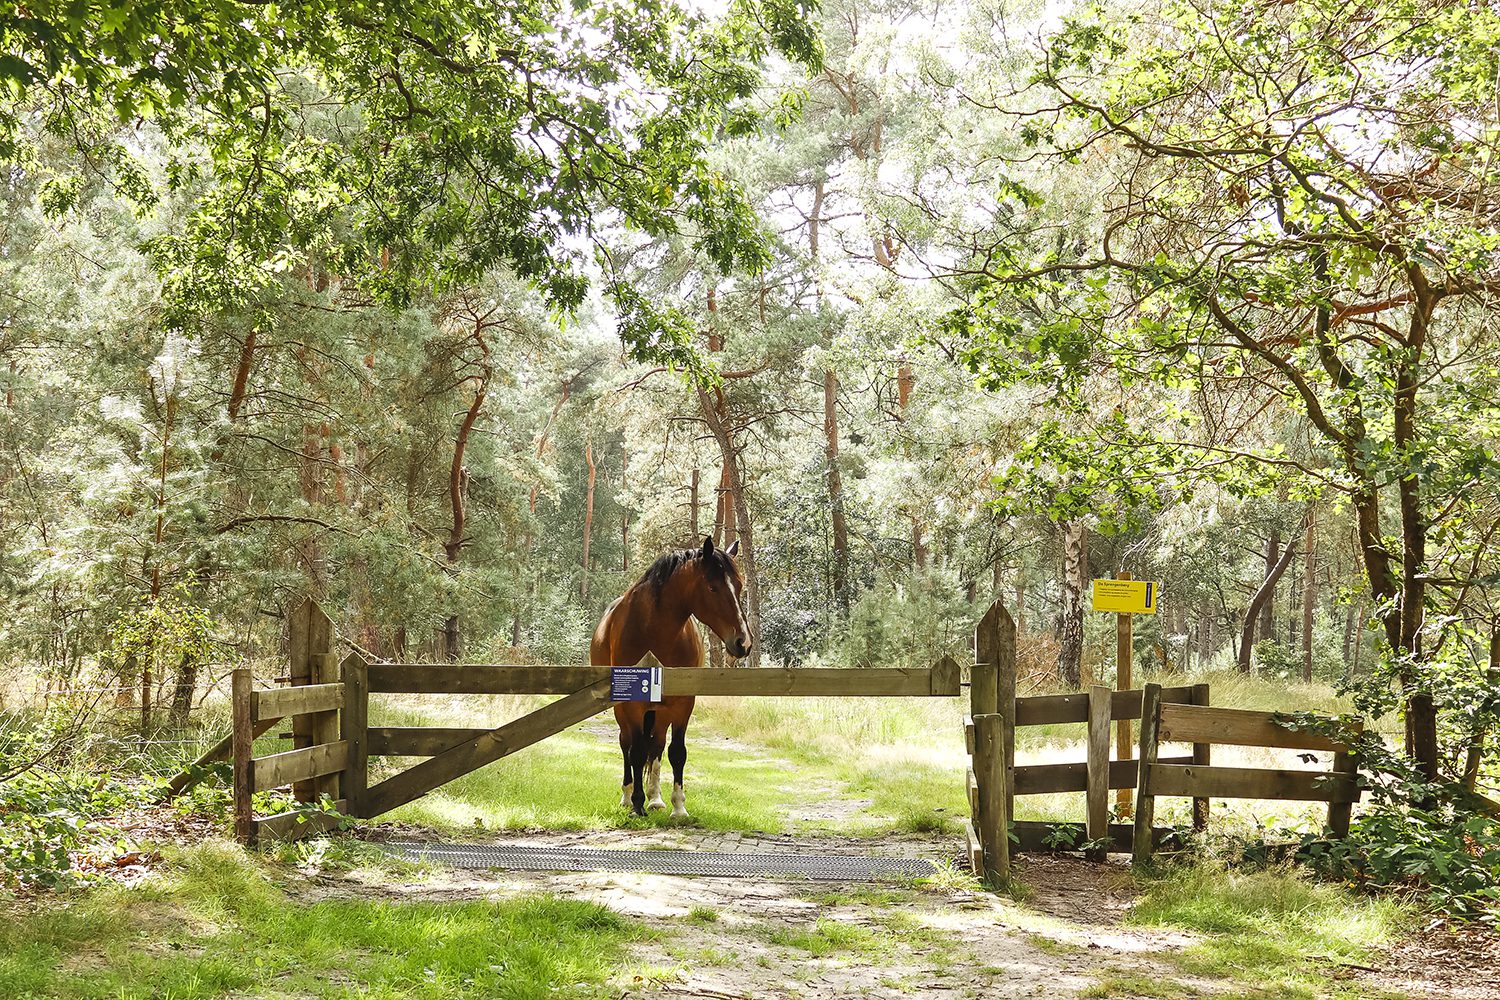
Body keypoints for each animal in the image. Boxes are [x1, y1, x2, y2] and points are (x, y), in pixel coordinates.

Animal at [585, 539, 750, 821]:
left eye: (739, 586)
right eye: (712, 587)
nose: (743, 642)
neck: (656, 632)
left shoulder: (683, 703)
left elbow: (676, 752)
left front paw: (678, 806)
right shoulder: (632, 705)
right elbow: (637, 752)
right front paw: (637, 804)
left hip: (661, 711)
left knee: (657, 746)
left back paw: (655, 798)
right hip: (624, 710)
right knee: (627, 745)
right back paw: (628, 796)